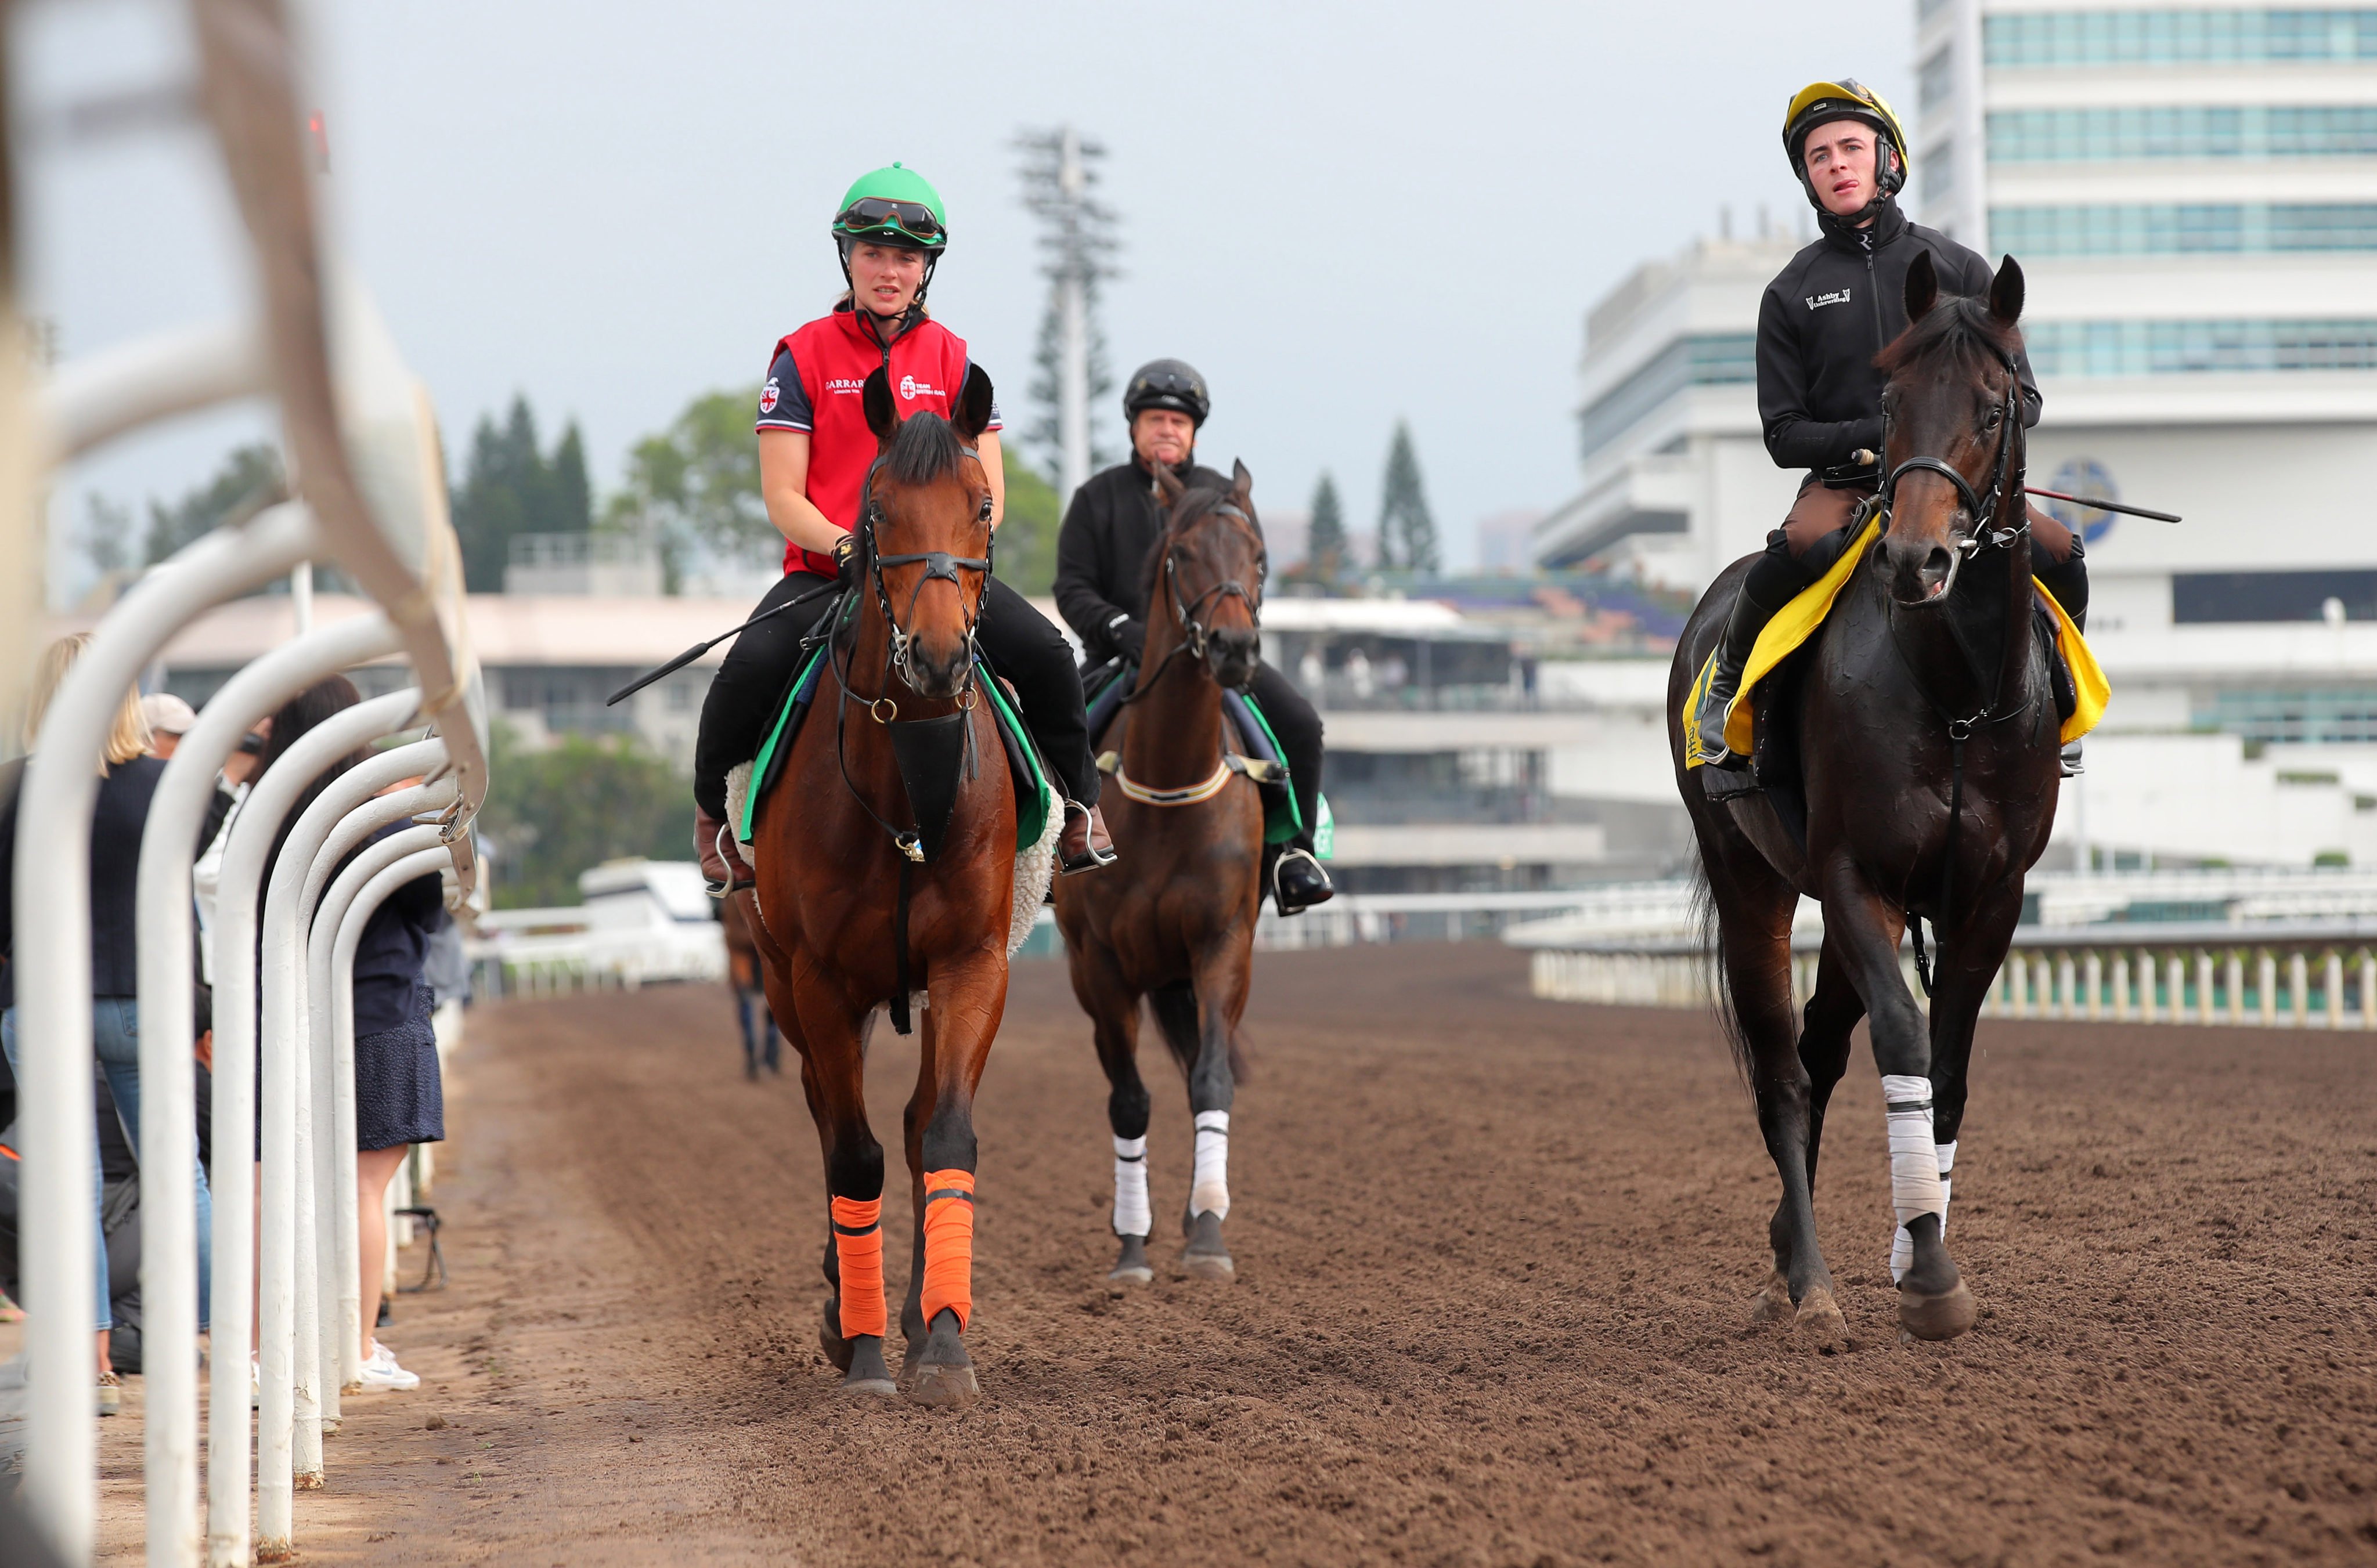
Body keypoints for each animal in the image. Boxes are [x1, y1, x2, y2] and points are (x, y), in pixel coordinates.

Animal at [732, 361, 1012, 1406]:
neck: (908, 787)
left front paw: (942, 1343)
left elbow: (946, 1136)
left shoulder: (973, 961)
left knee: (916, 1118)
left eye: (981, 505)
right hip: (780, 977)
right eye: (878, 509)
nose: (934, 656)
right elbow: (852, 1154)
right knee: (826, 1115)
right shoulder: (819, 978)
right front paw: (860, 1353)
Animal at [1060, 463, 1274, 1282]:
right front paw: (1130, 1245)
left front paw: (1208, 1234)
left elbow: (1210, 1078)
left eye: (1259, 555)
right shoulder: (1099, 965)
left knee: (1194, 1074)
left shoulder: (1222, 945)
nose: (1235, 646)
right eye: (1181, 554)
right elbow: (1129, 1100)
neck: (1167, 783)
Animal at [1673, 254, 2063, 1349]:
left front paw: (1913, 1252)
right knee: (1781, 1069)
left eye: (1994, 406)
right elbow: (1902, 1038)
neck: (1955, 691)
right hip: (1753, 877)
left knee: (1816, 1045)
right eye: (1887, 405)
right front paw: (1927, 1270)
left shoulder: (1991, 895)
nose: (1914, 560)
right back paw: (1804, 1283)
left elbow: (1950, 1067)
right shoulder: (1856, 875)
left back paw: (1785, 1258)